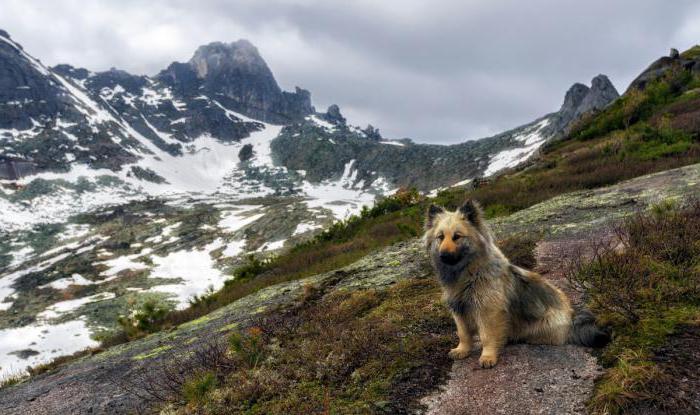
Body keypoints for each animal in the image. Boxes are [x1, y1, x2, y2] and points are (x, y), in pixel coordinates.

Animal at [424, 200, 608, 368]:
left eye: (457, 236)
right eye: (440, 237)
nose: (443, 255)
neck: (469, 273)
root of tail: (572, 316)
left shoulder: (487, 311)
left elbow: (487, 336)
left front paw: (488, 356)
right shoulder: (458, 309)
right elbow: (463, 334)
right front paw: (462, 350)